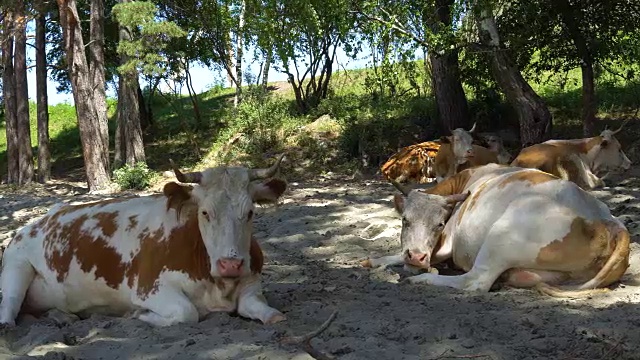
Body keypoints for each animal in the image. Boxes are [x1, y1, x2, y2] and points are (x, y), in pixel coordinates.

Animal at [0, 155, 288, 326]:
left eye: (250, 212)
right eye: (205, 212)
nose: (231, 264)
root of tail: (39, 220)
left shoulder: (251, 286)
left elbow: (273, 315)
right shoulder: (150, 288)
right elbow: (187, 313)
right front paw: (138, 314)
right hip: (16, 266)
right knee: (8, 311)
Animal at [364, 164, 632, 298]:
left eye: (439, 224)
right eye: (405, 220)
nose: (417, 257)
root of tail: (606, 221)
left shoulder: (448, 242)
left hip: (501, 239)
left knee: (475, 282)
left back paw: (424, 279)